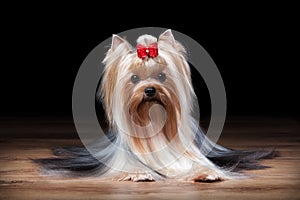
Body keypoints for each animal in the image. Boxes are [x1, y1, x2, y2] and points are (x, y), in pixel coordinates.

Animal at [35, 29, 276, 181]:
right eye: (133, 79)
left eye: (161, 76)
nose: (150, 90)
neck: (154, 122)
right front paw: (139, 173)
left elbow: (199, 165)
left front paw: (205, 173)